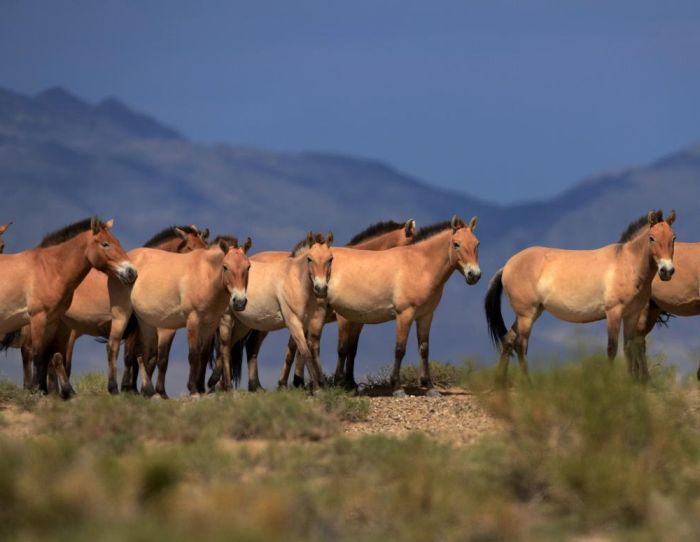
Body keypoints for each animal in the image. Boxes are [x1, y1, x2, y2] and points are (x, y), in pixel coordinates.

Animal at [0, 219, 137, 398]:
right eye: (105, 244)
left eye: (118, 242)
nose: (131, 272)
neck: (50, 269)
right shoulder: (38, 317)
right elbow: (37, 352)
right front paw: (37, 389)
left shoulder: (52, 321)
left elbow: (47, 353)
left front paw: (44, 389)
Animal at [128, 238, 252, 396]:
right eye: (225, 267)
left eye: (248, 267)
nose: (240, 301)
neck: (206, 276)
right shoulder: (193, 321)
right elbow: (193, 355)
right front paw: (193, 389)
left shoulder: (210, 324)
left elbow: (203, 355)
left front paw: (200, 387)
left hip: (146, 322)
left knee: (142, 352)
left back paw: (147, 389)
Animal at [308, 217, 482, 400]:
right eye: (456, 244)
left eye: (477, 244)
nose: (474, 275)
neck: (419, 265)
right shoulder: (404, 315)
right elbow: (399, 349)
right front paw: (397, 387)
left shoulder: (426, 316)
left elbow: (424, 350)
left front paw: (429, 387)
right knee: (313, 346)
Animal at [484, 211, 676, 386]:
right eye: (652, 238)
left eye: (673, 238)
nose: (667, 271)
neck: (627, 265)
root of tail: (507, 266)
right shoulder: (614, 313)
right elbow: (612, 348)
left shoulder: (632, 314)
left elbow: (629, 348)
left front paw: (631, 383)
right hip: (527, 315)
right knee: (520, 344)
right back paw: (528, 383)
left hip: (531, 313)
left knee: (508, 340)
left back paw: (499, 382)